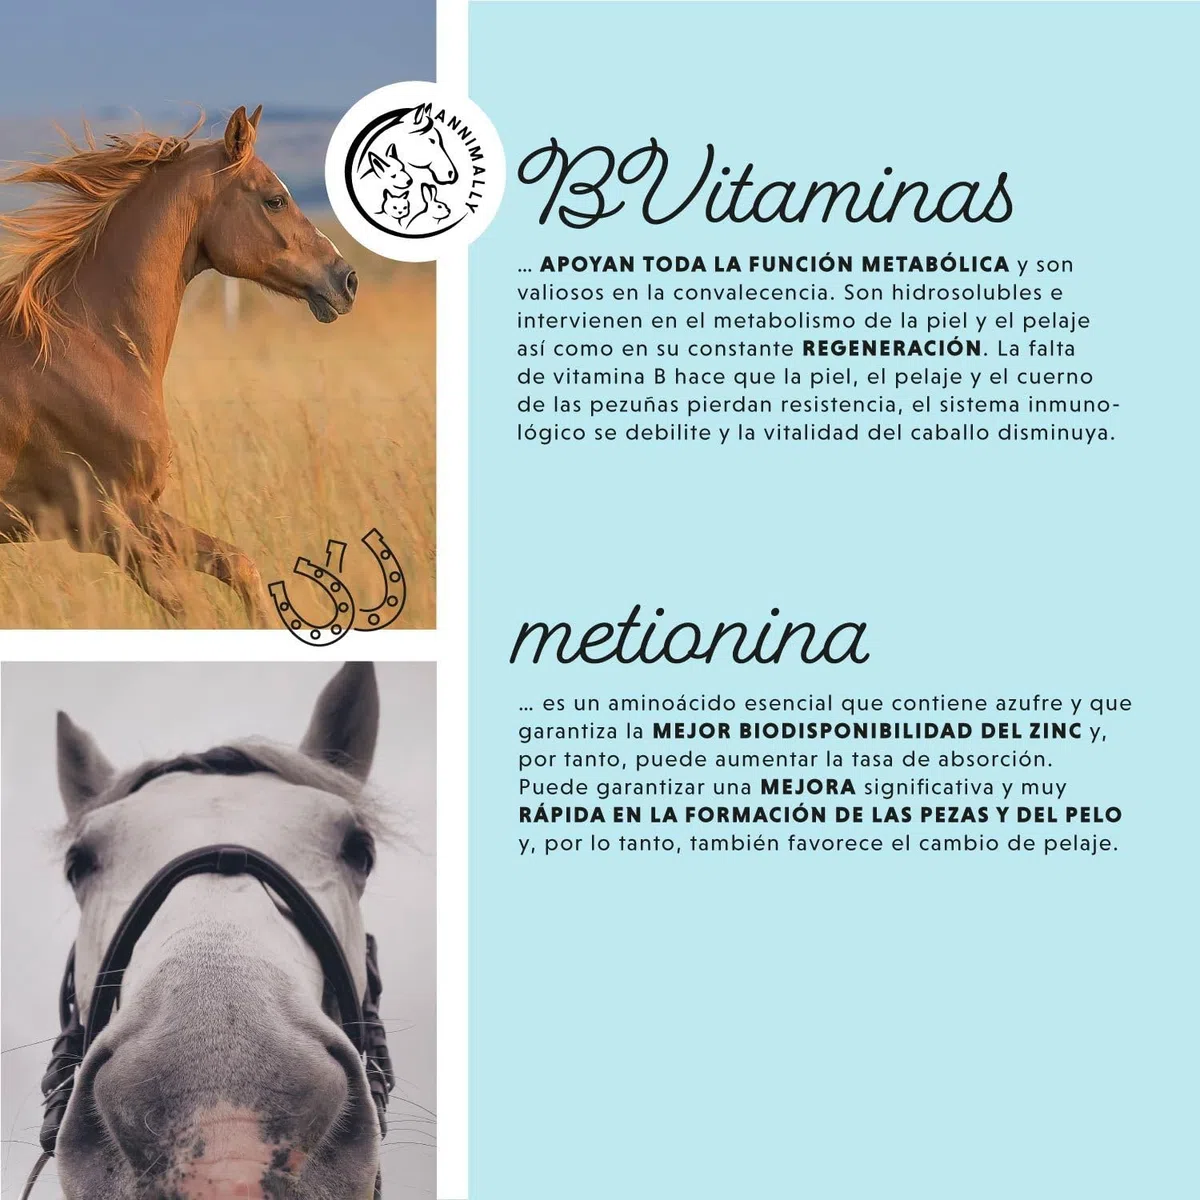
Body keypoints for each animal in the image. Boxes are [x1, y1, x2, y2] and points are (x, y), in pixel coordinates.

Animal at [0, 107, 358, 626]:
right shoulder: (102, 520)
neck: (87, 347)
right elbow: (193, 609)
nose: (346, 279)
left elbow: (238, 564)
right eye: (274, 199)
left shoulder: (140, 509)